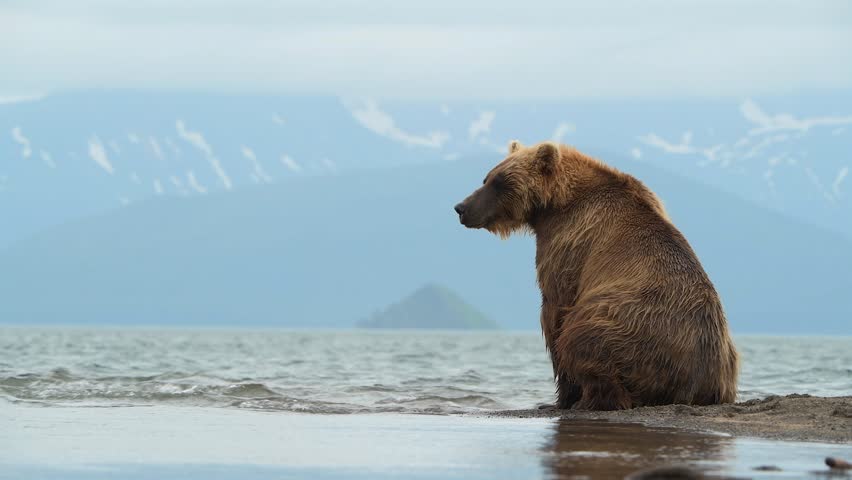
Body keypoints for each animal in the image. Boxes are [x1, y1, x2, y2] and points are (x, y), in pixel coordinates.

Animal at [454, 140, 739, 410]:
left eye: (499, 181)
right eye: (487, 178)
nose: (461, 207)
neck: (553, 204)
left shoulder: (571, 241)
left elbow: (556, 311)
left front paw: (560, 398)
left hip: (632, 325)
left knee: (581, 337)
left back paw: (589, 400)